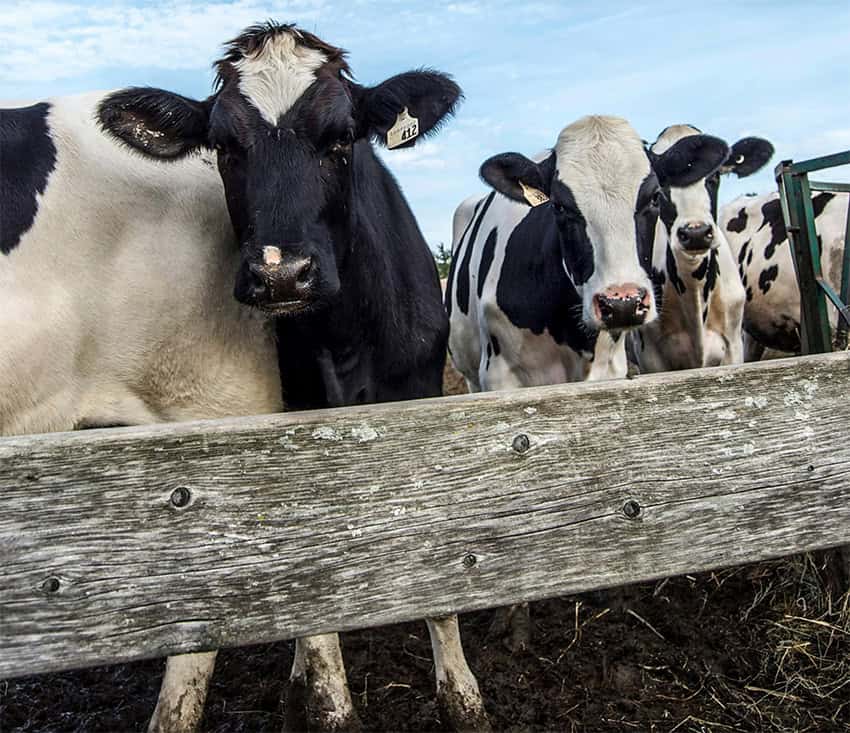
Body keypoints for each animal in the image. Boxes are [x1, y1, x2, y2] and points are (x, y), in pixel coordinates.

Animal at [93, 22, 484, 732]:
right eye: (222, 146)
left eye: (342, 137)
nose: (282, 275)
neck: (347, 340)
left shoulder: (420, 396)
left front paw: (463, 698)